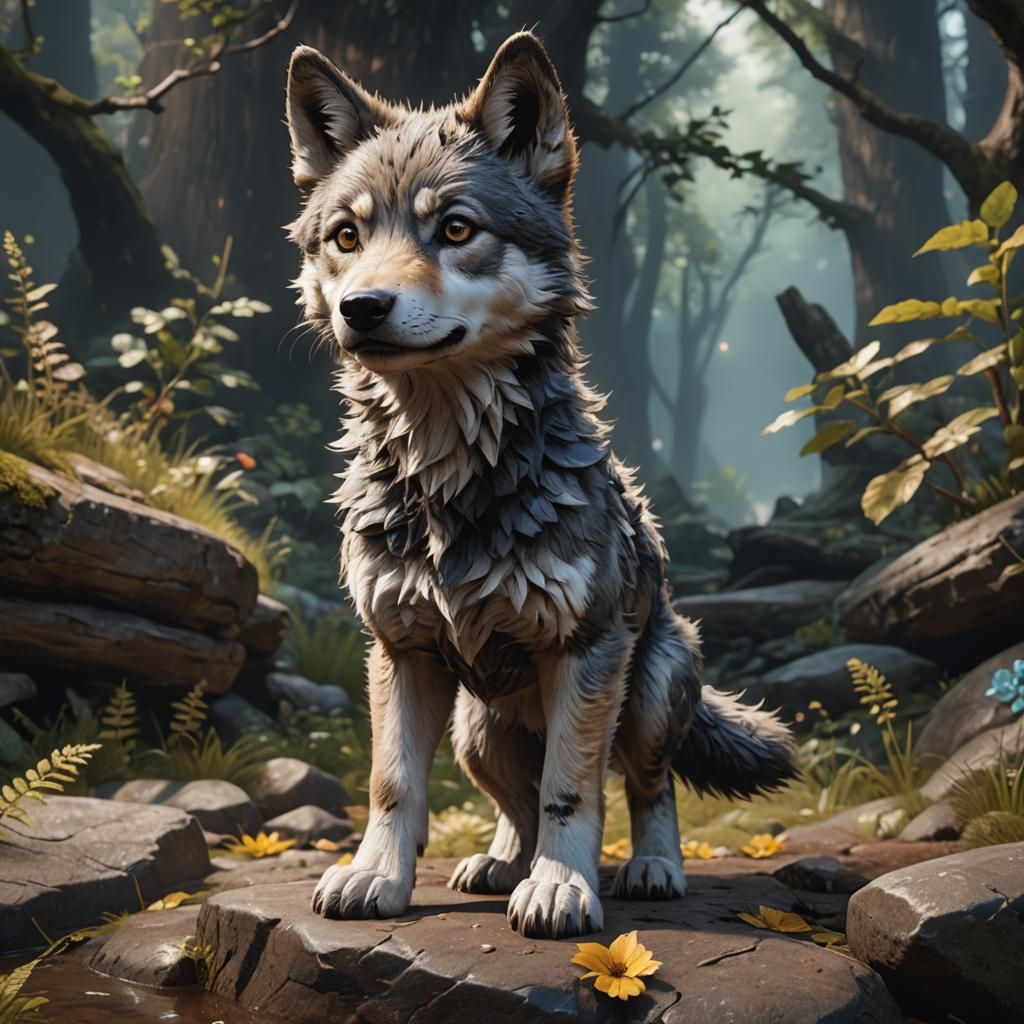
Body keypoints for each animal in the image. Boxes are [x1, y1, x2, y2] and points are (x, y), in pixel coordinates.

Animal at [284, 31, 796, 941]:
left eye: (456, 228)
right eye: (346, 235)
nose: (363, 307)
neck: (448, 474)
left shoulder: (585, 653)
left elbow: (572, 789)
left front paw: (562, 888)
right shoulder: (399, 651)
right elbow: (392, 785)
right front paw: (376, 877)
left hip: (650, 693)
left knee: (647, 785)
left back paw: (651, 868)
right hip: (473, 731)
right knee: (511, 802)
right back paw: (498, 863)